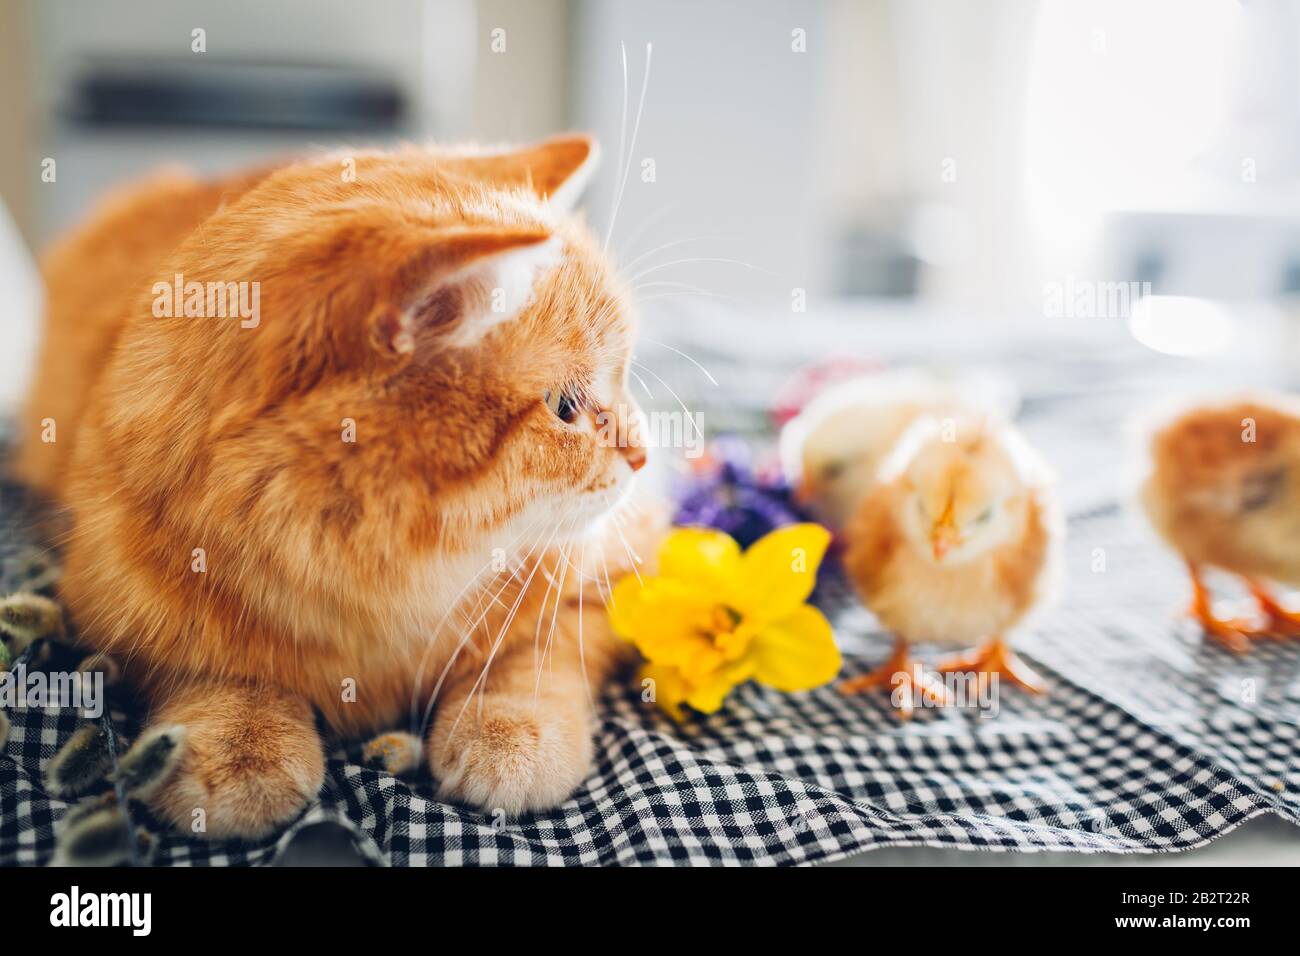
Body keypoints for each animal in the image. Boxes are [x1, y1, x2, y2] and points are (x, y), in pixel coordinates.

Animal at [15, 134, 655, 837]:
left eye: (625, 375)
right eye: (565, 407)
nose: (646, 451)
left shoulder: (619, 571)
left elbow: (540, 651)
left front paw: (510, 724)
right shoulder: (115, 599)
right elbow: (207, 664)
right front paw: (241, 734)